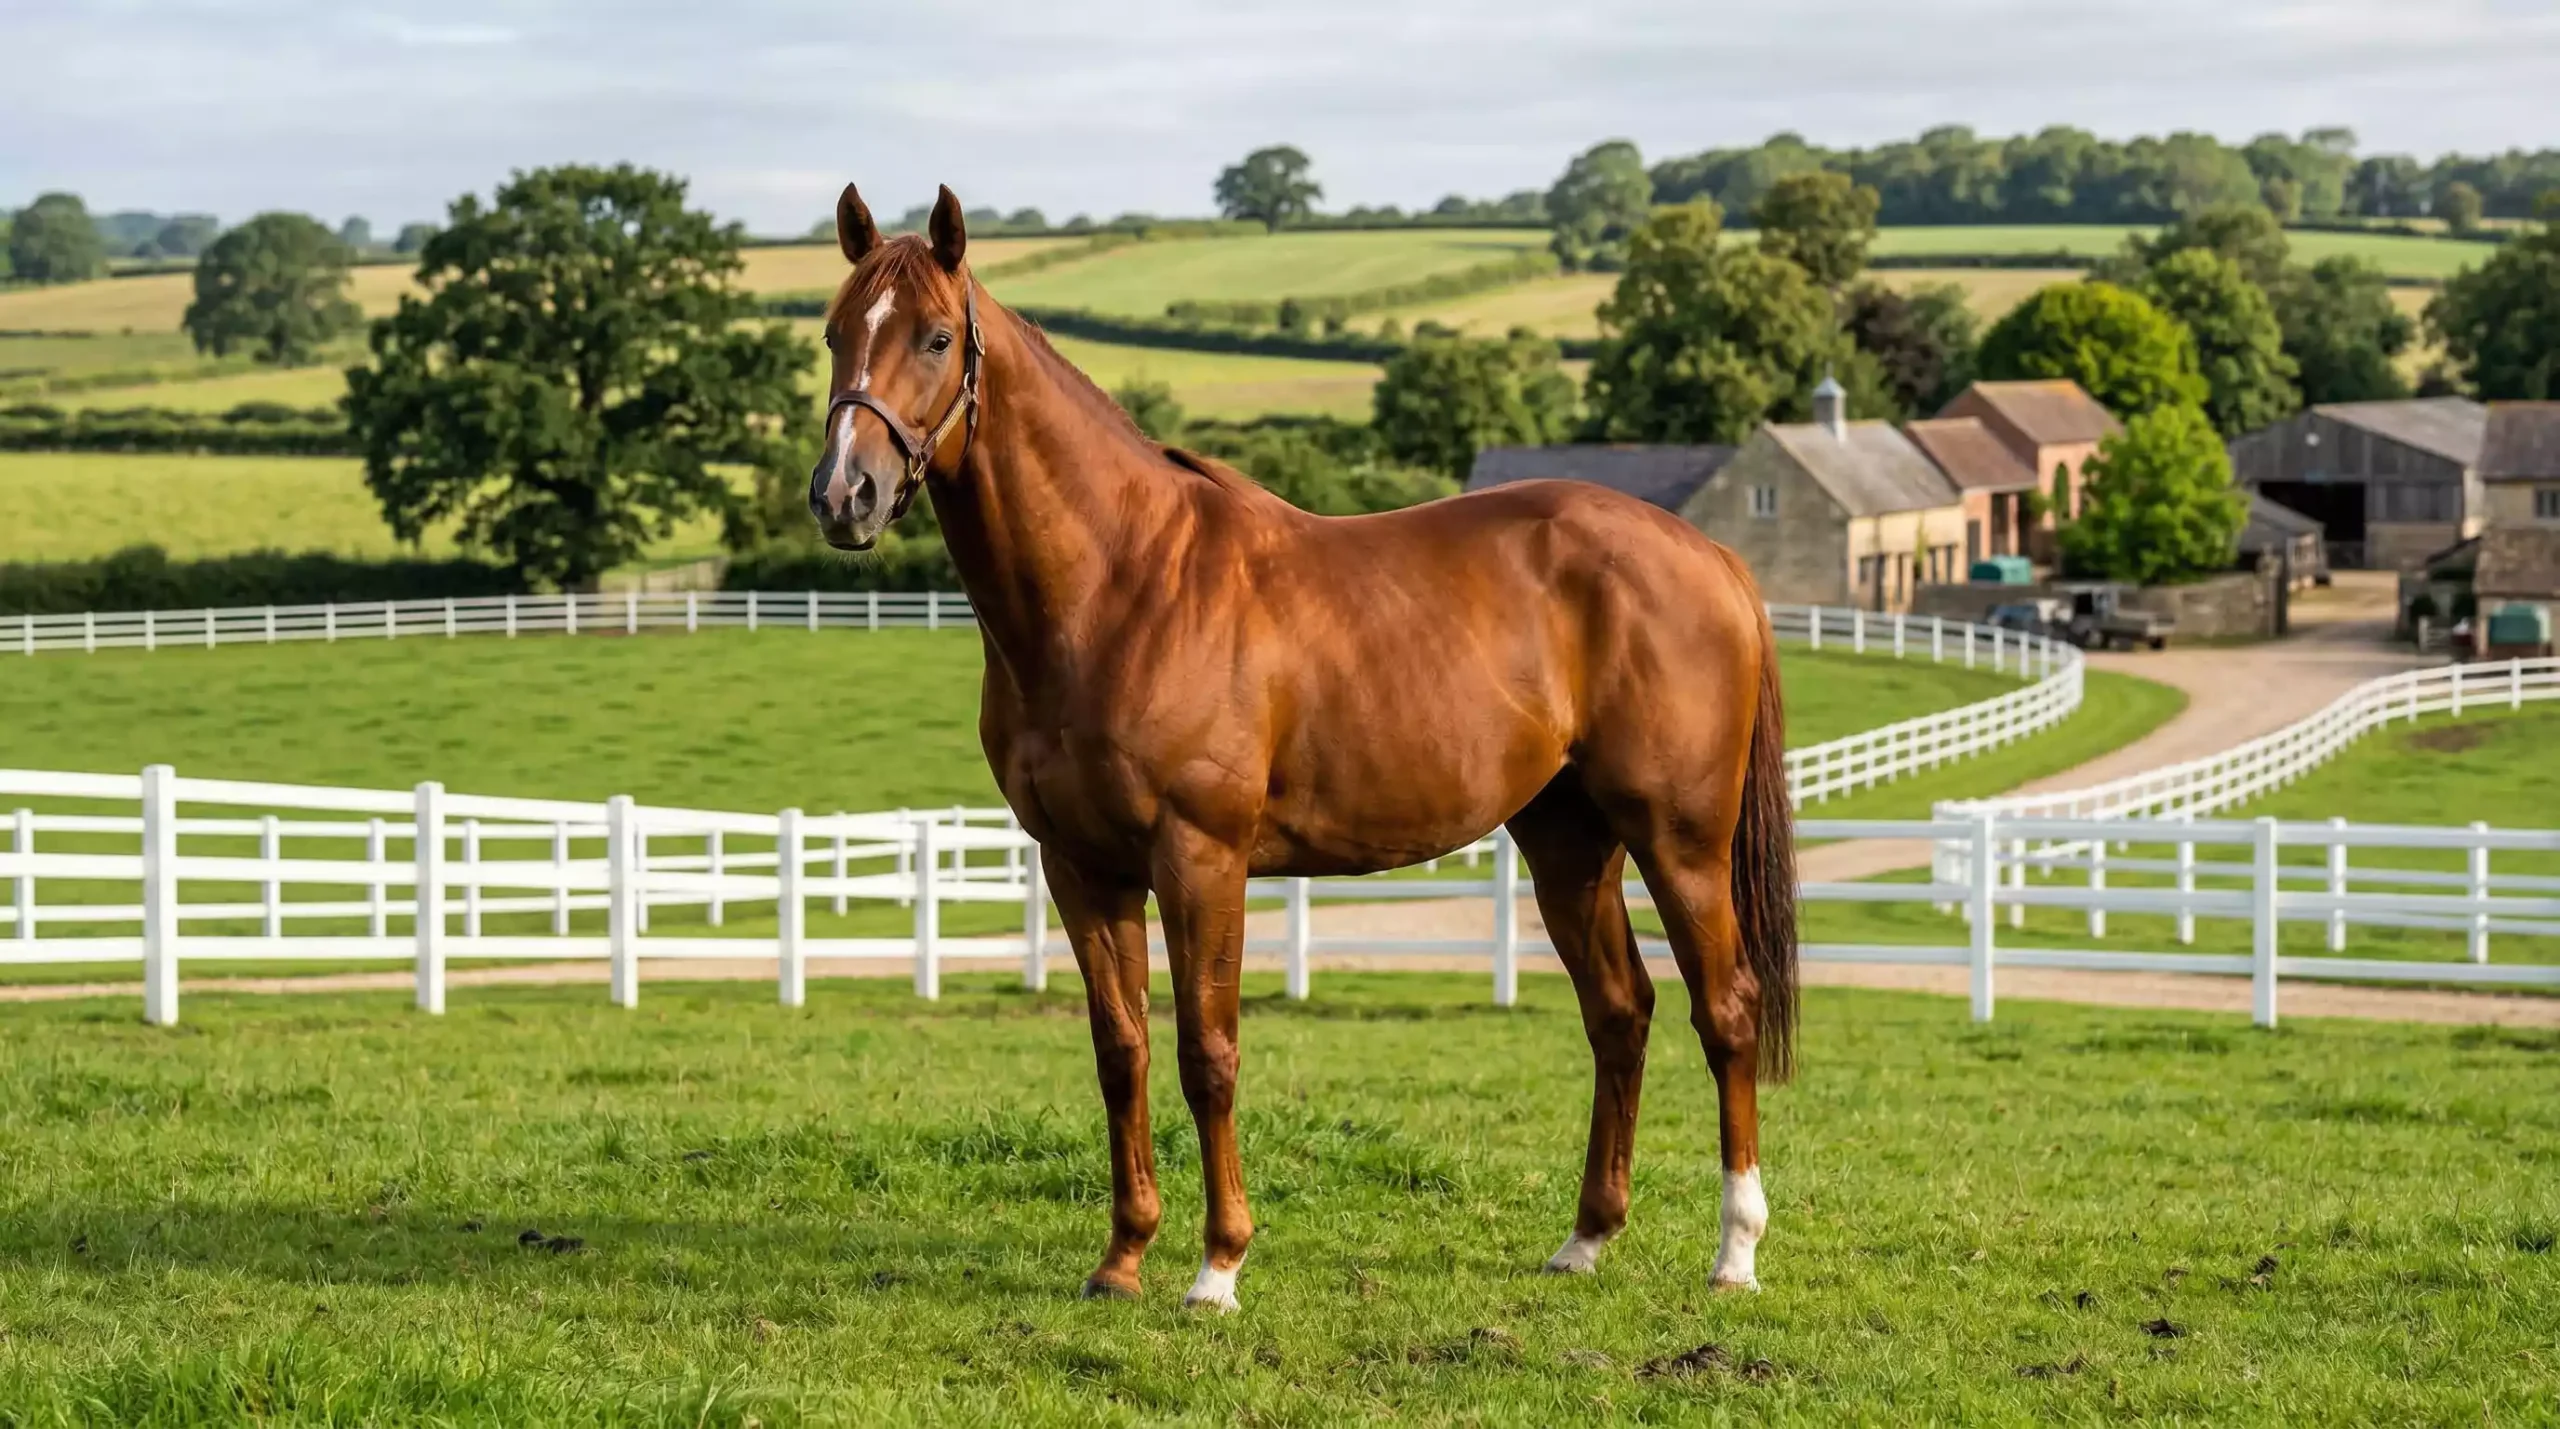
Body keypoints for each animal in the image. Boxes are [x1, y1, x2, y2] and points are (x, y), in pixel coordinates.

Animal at [808, 183, 1798, 1312]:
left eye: (935, 337)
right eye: (835, 333)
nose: (844, 496)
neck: (1121, 584)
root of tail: (1708, 555)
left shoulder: (1200, 859)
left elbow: (1208, 1051)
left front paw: (1218, 1265)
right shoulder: (1082, 866)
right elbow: (1121, 1050)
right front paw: (1122, 1257)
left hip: (1680, 840)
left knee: (1724, 1013)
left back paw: (1735, 1252)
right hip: (1567, 841)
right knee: (1619, 1014)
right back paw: (1586, 1238)